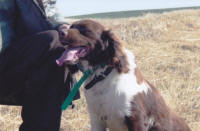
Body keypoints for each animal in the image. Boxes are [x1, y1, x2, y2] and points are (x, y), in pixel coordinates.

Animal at [56, 19, 191, 131]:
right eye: (71, 26)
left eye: (84, 29)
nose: (60, 31)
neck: (102, 75)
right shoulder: (96, 120)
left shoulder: (136, 119)